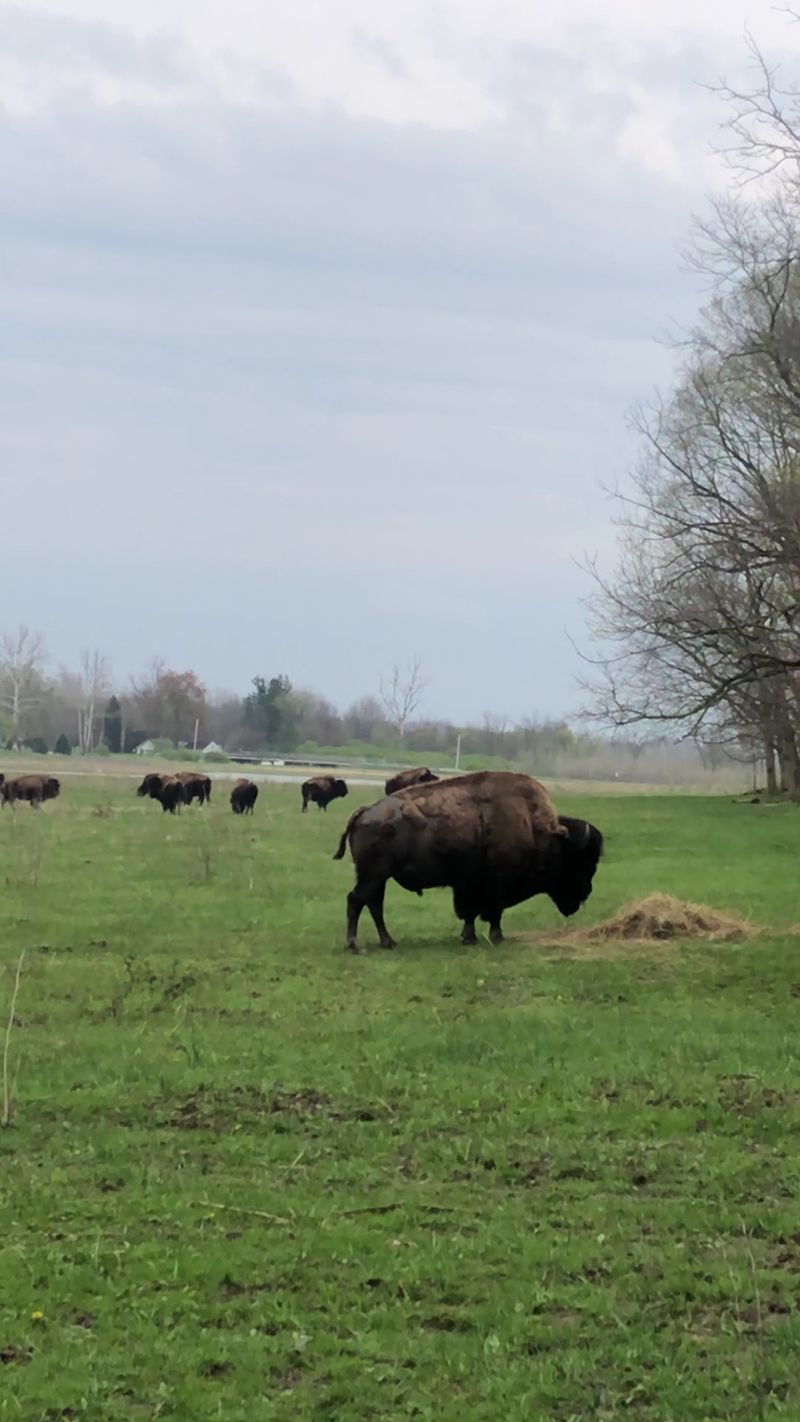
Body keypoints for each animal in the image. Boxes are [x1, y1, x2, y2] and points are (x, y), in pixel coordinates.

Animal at [333, 770, 602, 952]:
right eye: (579, 861)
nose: (587, 892)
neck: (536, 828)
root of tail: (364, 812)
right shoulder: (492, 886)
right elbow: (491, 912)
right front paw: (495, 937)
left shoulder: (469, 885)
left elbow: (470, 912)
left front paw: (469, 937)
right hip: (374, 875)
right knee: (357, 901)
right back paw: (355, 945)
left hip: (378, 877)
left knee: (373, 904)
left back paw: (388, 942)